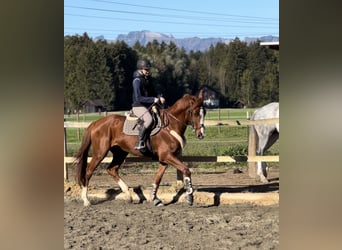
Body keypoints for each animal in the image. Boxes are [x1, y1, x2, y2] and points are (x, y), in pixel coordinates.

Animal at [74, 91, 204, 206]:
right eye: (195, 112)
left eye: (204, 112)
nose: (201, 134)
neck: (170, 125)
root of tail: (95, 123)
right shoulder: (167, 156)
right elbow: (186, 170)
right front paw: (190, 197)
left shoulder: (164, 159)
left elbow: (157, 178)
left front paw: (155, 199)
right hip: (100, 153)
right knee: (88, 171)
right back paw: (86, 200)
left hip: (120, 153)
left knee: (112, 170)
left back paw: (128, 195)